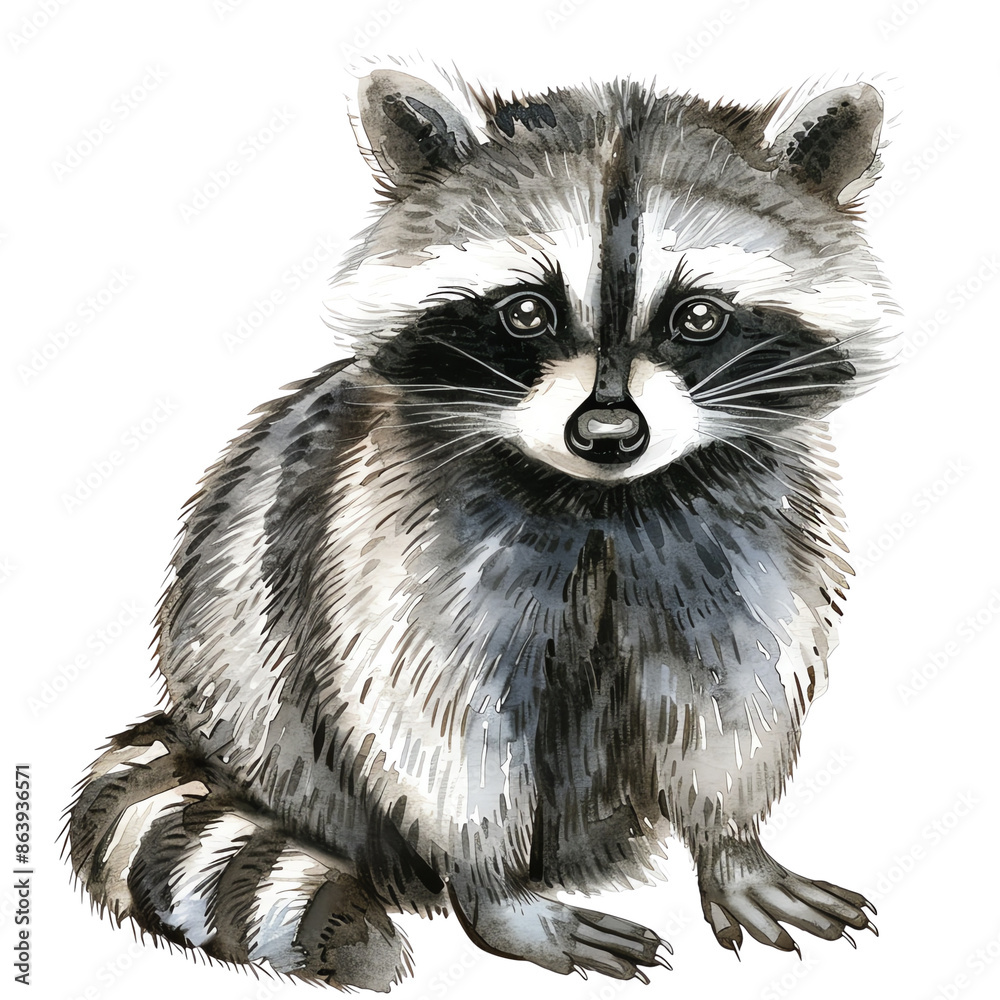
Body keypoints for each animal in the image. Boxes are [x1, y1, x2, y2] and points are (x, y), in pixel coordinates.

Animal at [66, 68, 892, 991]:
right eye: (527, 312)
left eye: (698, 317)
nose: (609, 435)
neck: (604, 501)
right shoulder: (393, 532)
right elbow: (433, 719)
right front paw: (492, 888)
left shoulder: (741, 530)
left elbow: (730, 694)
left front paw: (730, 843)